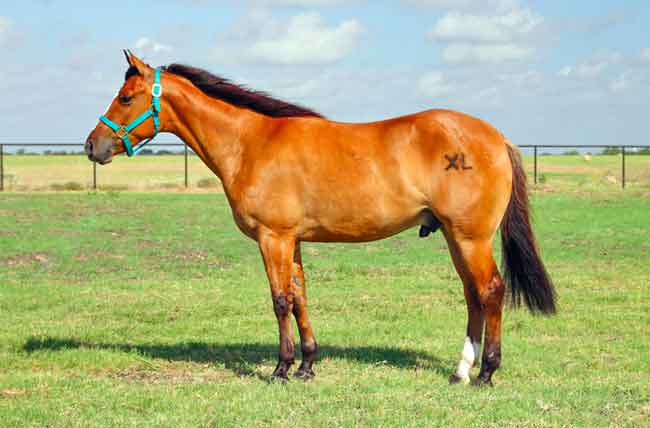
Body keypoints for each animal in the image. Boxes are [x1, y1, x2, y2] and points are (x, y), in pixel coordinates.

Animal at [83, 51, 556, 386]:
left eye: (125, 98)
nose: (92, 146)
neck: (250, 142)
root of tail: (495, 137)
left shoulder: (273, 238)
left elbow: (279, 301)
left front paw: (281, 369)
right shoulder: (292, 241)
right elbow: (300, 298)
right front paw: (307, 365)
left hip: (470, 237)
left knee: (491, 292)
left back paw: (487, 373)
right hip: (457, 239)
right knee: (473, 295)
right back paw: (461, 370)